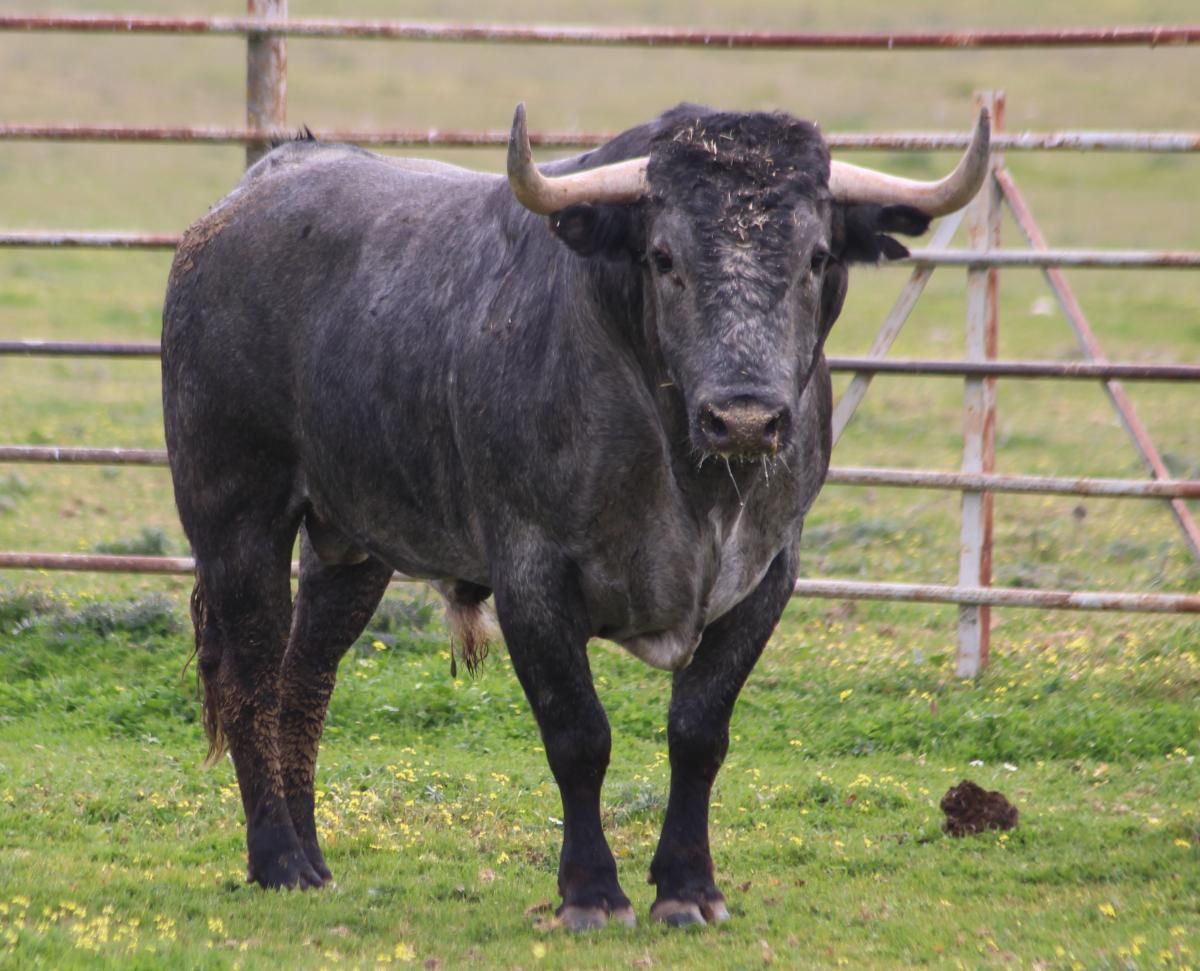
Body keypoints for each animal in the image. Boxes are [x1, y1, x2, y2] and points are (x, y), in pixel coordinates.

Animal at [162, 102, 984, 926]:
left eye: (815, 257)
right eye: (663, 256)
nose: (745, 419)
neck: (689, 473)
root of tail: (242, 201)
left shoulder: (768, 575)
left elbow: (699, 734)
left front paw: (690, 887)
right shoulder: (532, 577)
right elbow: (578, 735)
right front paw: (591, 891)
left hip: (351, 544)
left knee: (305, 678)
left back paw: (312, 855)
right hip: (236, 519)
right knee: (251, 675)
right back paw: (277, 860)